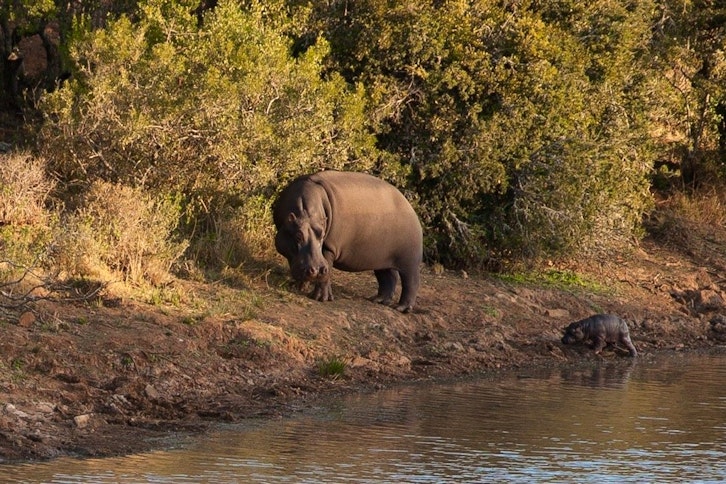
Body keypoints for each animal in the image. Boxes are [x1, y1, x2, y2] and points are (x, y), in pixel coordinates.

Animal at [273, 170, 423, 313]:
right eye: (298, 235)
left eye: (322, 234)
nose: (318, 270)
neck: (305, 213)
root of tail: (410, 207)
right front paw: (299, 288)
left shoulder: (329, 247)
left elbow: (327, 270)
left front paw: (321, 298)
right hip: (381, 258)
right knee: (389, 277)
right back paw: (378, 300)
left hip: (409, 260)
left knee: (411, 282)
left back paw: (402, 308)